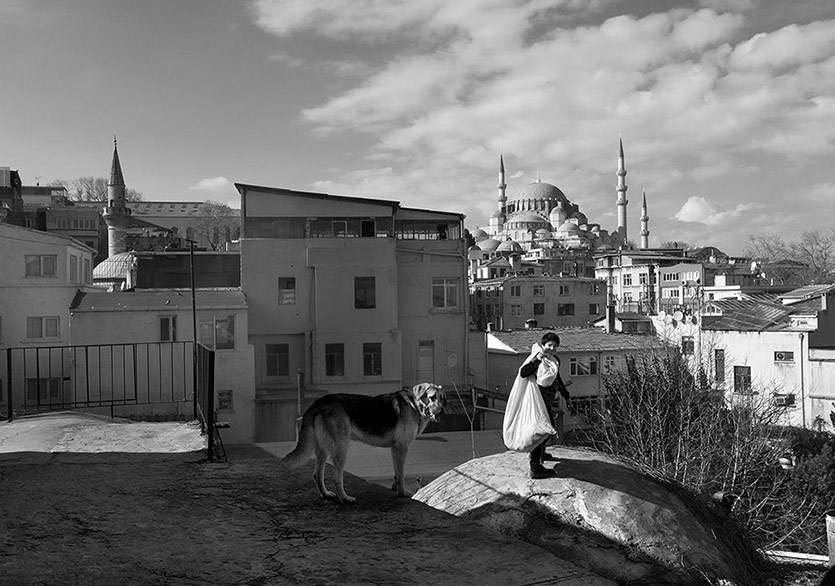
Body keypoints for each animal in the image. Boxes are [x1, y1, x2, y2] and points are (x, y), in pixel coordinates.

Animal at [280, 384, 450, 502]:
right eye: (432, 397)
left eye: (442, 399)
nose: (442, 412)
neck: (415, 404)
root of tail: (317, 403)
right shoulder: (402, 448)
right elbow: (401, 474)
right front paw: (402, 493)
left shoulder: (395, 449)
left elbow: (396, 472)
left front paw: (394, 488)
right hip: (341, 448)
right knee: (336, 478)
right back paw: (344, 499)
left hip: (323, 450)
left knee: (317, 475)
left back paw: (326, 494)